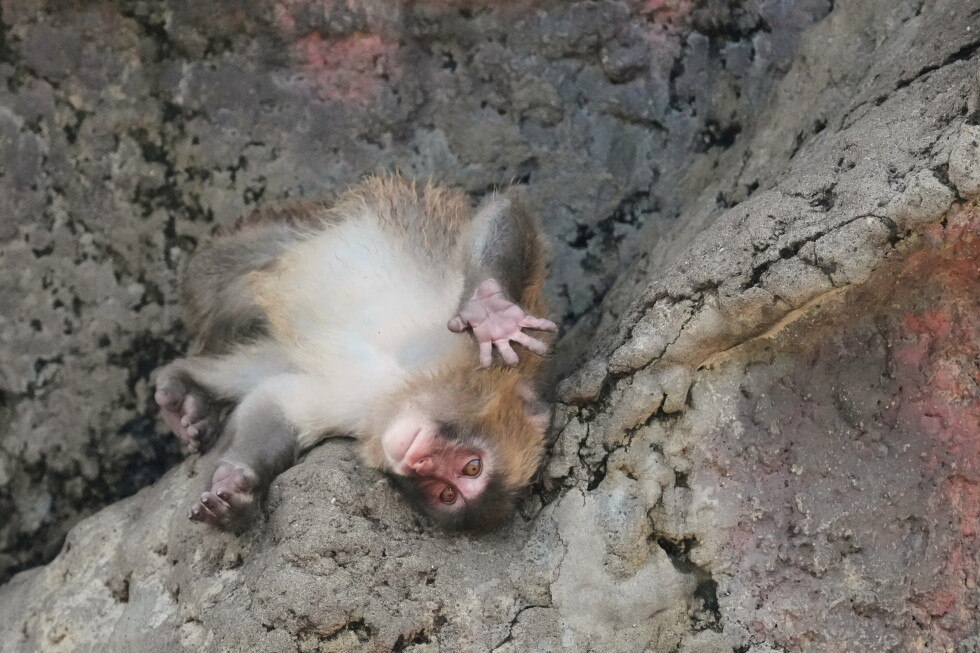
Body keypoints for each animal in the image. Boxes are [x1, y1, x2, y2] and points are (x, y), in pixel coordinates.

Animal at [153, 176, 557, 532]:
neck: (409, 382)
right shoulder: (488, 355)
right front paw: (491, 311)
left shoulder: (359, 417)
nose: (419, 462)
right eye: (472, 467)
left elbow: (276, 404)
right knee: (220, 279)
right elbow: (504, 209)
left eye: (447, 492)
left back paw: (189, 393)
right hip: (292, 232)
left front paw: (237, 489)